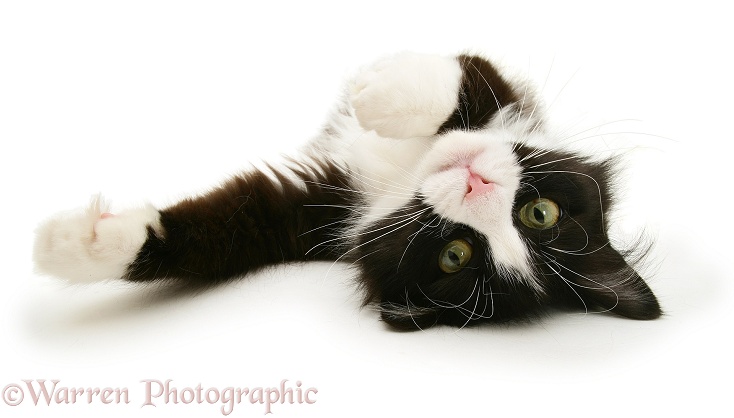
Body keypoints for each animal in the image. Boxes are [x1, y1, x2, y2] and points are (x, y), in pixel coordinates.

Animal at [31, 51, 664, 330]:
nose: (476, 183)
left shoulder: (314, 217)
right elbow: (464, 83)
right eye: (541, 213)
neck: (404, 178)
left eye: (455, 255)